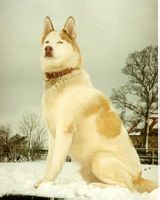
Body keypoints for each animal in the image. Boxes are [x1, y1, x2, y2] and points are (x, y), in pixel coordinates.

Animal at [33, 16, 157, 192]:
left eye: (60, 42)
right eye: (47, 41)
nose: (48, 48)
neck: (62, 78)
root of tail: (138, 177)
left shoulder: (65, 130)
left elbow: (56, 163)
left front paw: (46, 184)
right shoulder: (53, 134)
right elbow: (49, 162)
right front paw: (43, 181)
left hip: (99, 159)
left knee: (126, 188)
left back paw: (95, 186)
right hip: (88, 167)